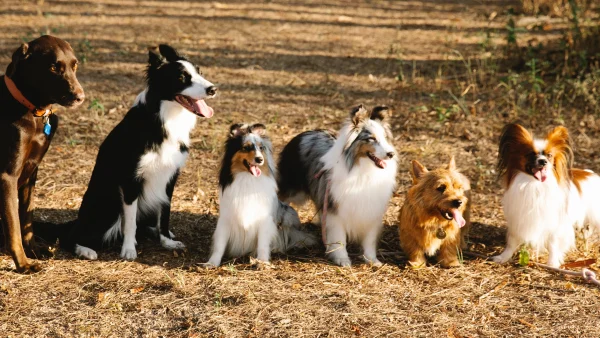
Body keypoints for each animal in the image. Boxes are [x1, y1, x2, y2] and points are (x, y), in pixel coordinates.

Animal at [0, 35, 85, 274]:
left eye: (75, 65)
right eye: (54, 67)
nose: (80, 97)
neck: (35, 112)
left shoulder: (31, 174)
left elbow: (26, 218)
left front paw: (33, 250)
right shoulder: (8, 177)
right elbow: (13, 227)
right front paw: (23, 264)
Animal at [205, 123, 316, 266]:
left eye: (261, 148)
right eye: (246, 147)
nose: (259, 159)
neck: (248, 179)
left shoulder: (264, 219)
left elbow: (263, 243)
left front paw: (262, 261)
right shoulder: (226, 218)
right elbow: (219, 244)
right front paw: (212, 263)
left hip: (288, 214)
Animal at [276, 105, 398, 266]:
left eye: (385, 138)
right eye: (371, 139)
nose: (391, 154)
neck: (363, 169)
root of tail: (302, 134)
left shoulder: (371, 209)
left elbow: (369, 239)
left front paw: (372, 260)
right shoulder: (336, 210)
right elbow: (339, 238)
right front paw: (342, 259)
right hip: (293, 191)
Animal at [492, 123, 600, 268]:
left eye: (549, 155)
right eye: (531, 154)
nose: (543, 161)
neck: (534, 185)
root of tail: (591, 173)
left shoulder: (555, 222)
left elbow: (553, 243)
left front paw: (552, 263)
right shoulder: (518, 219)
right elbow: (512, 241)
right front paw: (503, 257)